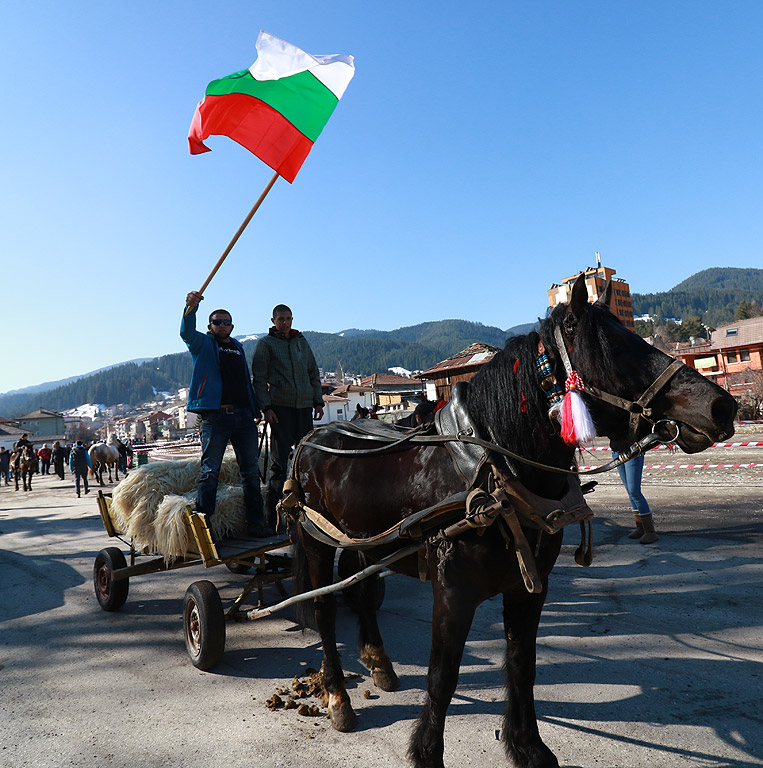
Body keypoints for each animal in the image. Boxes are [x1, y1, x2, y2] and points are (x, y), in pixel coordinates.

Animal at [286, 276, 736, 768]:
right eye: (617, 348)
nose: (722, 407)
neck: (492, 470)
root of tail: (311, 437)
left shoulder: (529, 587)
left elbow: (523, 664)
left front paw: (528, 747)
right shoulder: (453, 593)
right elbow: (442, 676)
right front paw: (427, 752)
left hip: (365, 544)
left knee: (363, 591)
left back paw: (378, 662)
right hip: (316, 543)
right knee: (325, 609)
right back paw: (337, 696)